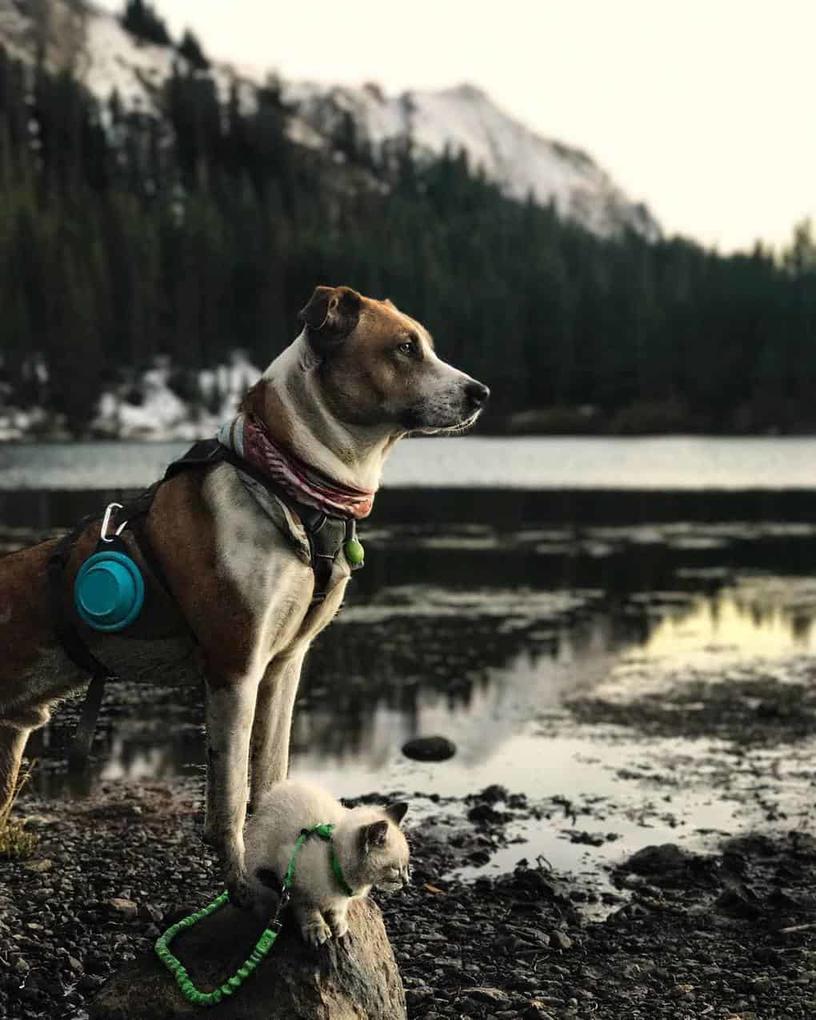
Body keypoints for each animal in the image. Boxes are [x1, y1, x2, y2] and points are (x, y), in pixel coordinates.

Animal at [0, 283, 487, 905]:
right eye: (405, 348)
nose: (481, 393)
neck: (289, 488)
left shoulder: (285, 665)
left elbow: (271, 776)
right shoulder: (235, 670)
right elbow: (229, 799)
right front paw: (242, 888)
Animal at [242, 779, 408, 946]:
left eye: (406, 867)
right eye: (395, 868)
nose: (406, 881)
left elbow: (339, 909)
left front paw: (338, 924)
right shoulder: (294, 883)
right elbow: (308, 909)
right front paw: (317, 929)